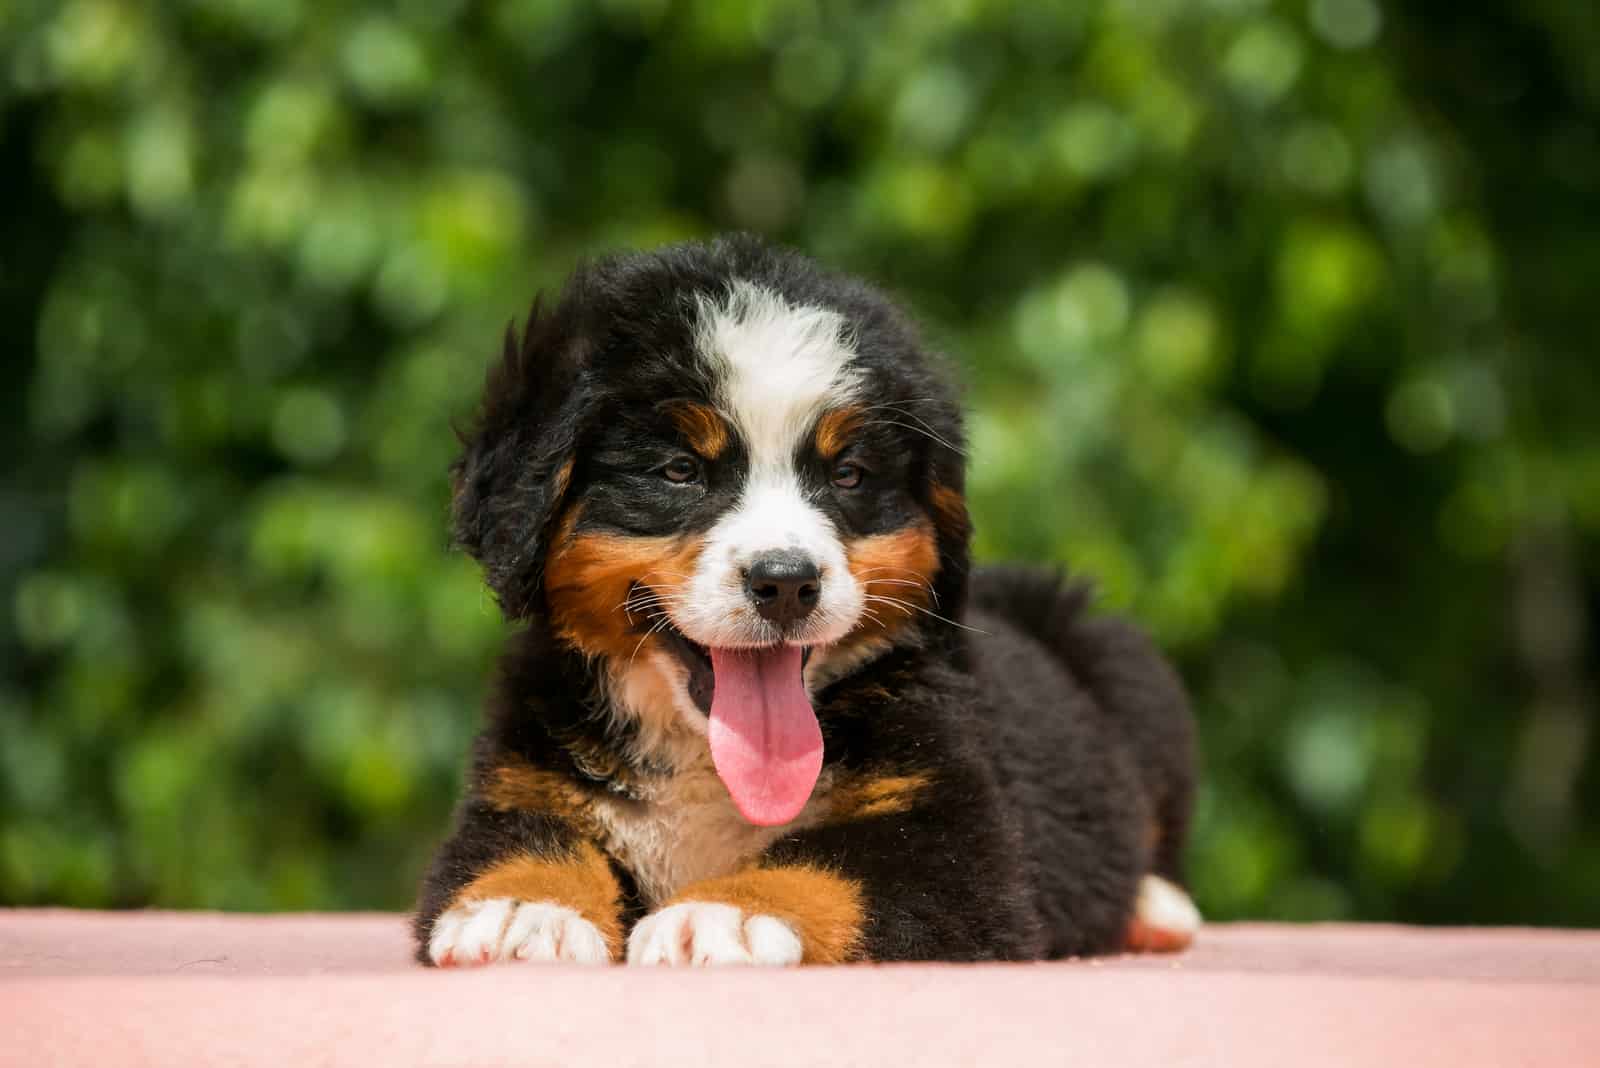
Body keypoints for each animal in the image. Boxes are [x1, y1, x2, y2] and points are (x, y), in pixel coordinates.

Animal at [416, 235, 1203, 965]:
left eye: (847, 475)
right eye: (680, 471)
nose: (787, 581)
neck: (709, 765)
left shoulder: (957, 836)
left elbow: (832, 868)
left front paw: (724, 914)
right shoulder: (522, 784)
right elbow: (524, 843)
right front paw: (524, 907)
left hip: (1121, 662)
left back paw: (1155, 908)